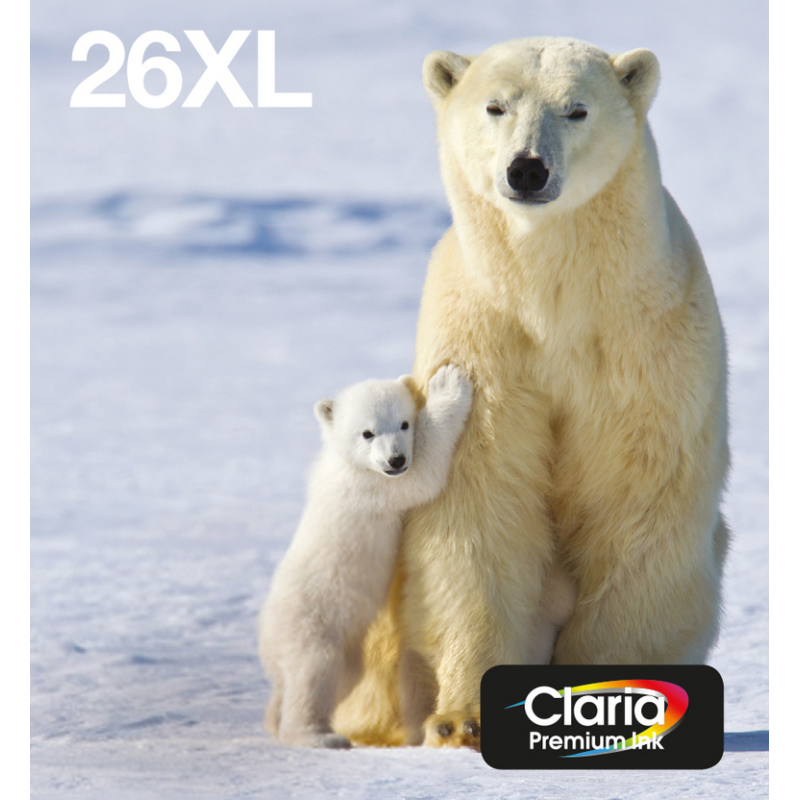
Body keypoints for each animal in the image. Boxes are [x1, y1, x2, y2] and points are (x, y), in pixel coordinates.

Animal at [258, 365, 473, 748]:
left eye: (403, 423)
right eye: (368, 433)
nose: (396, 459)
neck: (346, 463)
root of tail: (267, 643)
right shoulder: (373, 487)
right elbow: (423, 473)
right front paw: (447, 384)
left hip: (347, 650)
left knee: (338, 679)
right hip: (310, 625)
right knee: (312, 672)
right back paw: (320, 736)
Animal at [332, 37, 730, 750]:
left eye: (576, 109)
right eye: (496, 105)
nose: (527, 170)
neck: (554, 298)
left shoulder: (644, 347)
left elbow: (636, 501)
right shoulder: (485, 342)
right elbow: (480, 504)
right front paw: (463, 719)